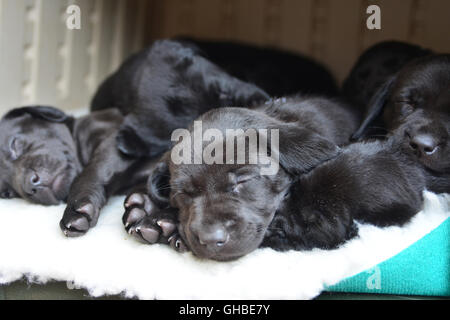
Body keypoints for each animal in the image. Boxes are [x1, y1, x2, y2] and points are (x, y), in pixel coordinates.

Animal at [0, 106, 156, 236]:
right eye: (8, 193)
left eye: (14, 144)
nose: (30, 186)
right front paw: (144, 205)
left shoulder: (114, 138)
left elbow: (93, 170)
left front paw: (76, 208)